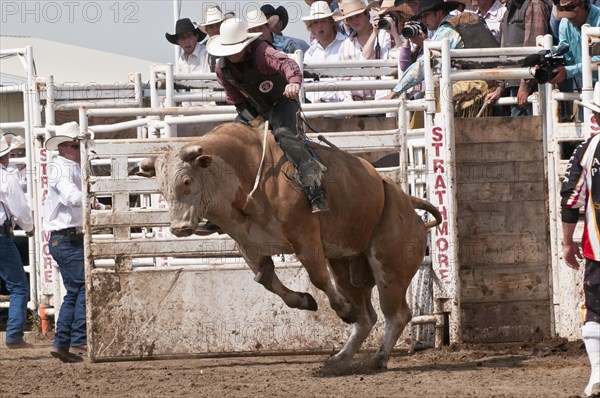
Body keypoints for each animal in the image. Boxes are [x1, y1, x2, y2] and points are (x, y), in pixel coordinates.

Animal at [139, 123, 440, 368]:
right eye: (162, 189)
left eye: (187, 181)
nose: (179, 228)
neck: (250, 174)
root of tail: (408, 201)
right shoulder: (248, 245)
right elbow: (265, 279)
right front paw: (304, 300)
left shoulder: (306, 236)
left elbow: (317, 278)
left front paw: (341, 309)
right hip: (349, 267)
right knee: (366, 318)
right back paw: (339, 358)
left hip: (391, 268)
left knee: (396, 315)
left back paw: (378, 357)